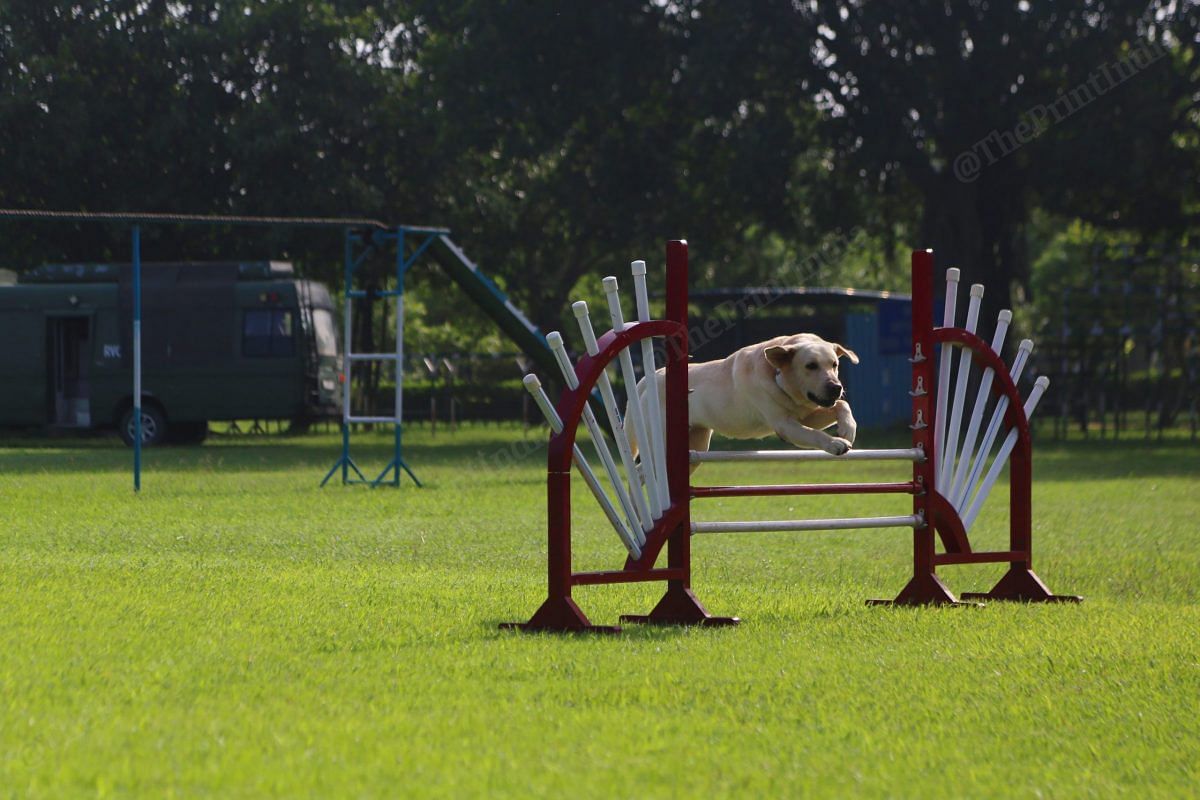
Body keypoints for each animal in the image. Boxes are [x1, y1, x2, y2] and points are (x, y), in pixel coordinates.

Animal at [633, 333, 859, 462]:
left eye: (834, 364)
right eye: (810, 366)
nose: (836, 387)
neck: (778, 374)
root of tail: (651, 376)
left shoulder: (805, 416)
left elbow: (842, 405)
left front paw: (847, 430)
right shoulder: (784, 425)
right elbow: (814, 434)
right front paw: (835, 443)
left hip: (697, 447)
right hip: (661, 445)